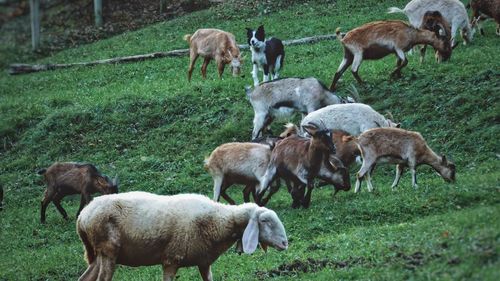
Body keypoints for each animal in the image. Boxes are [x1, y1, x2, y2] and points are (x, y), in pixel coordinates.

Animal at [76, 191, 288, 280]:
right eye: (265, 221)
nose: (285, 243)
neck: (218, 220)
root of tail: (83, 216)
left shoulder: (204, 261)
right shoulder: (171, 258)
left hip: (100, 254)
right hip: (108, 249)